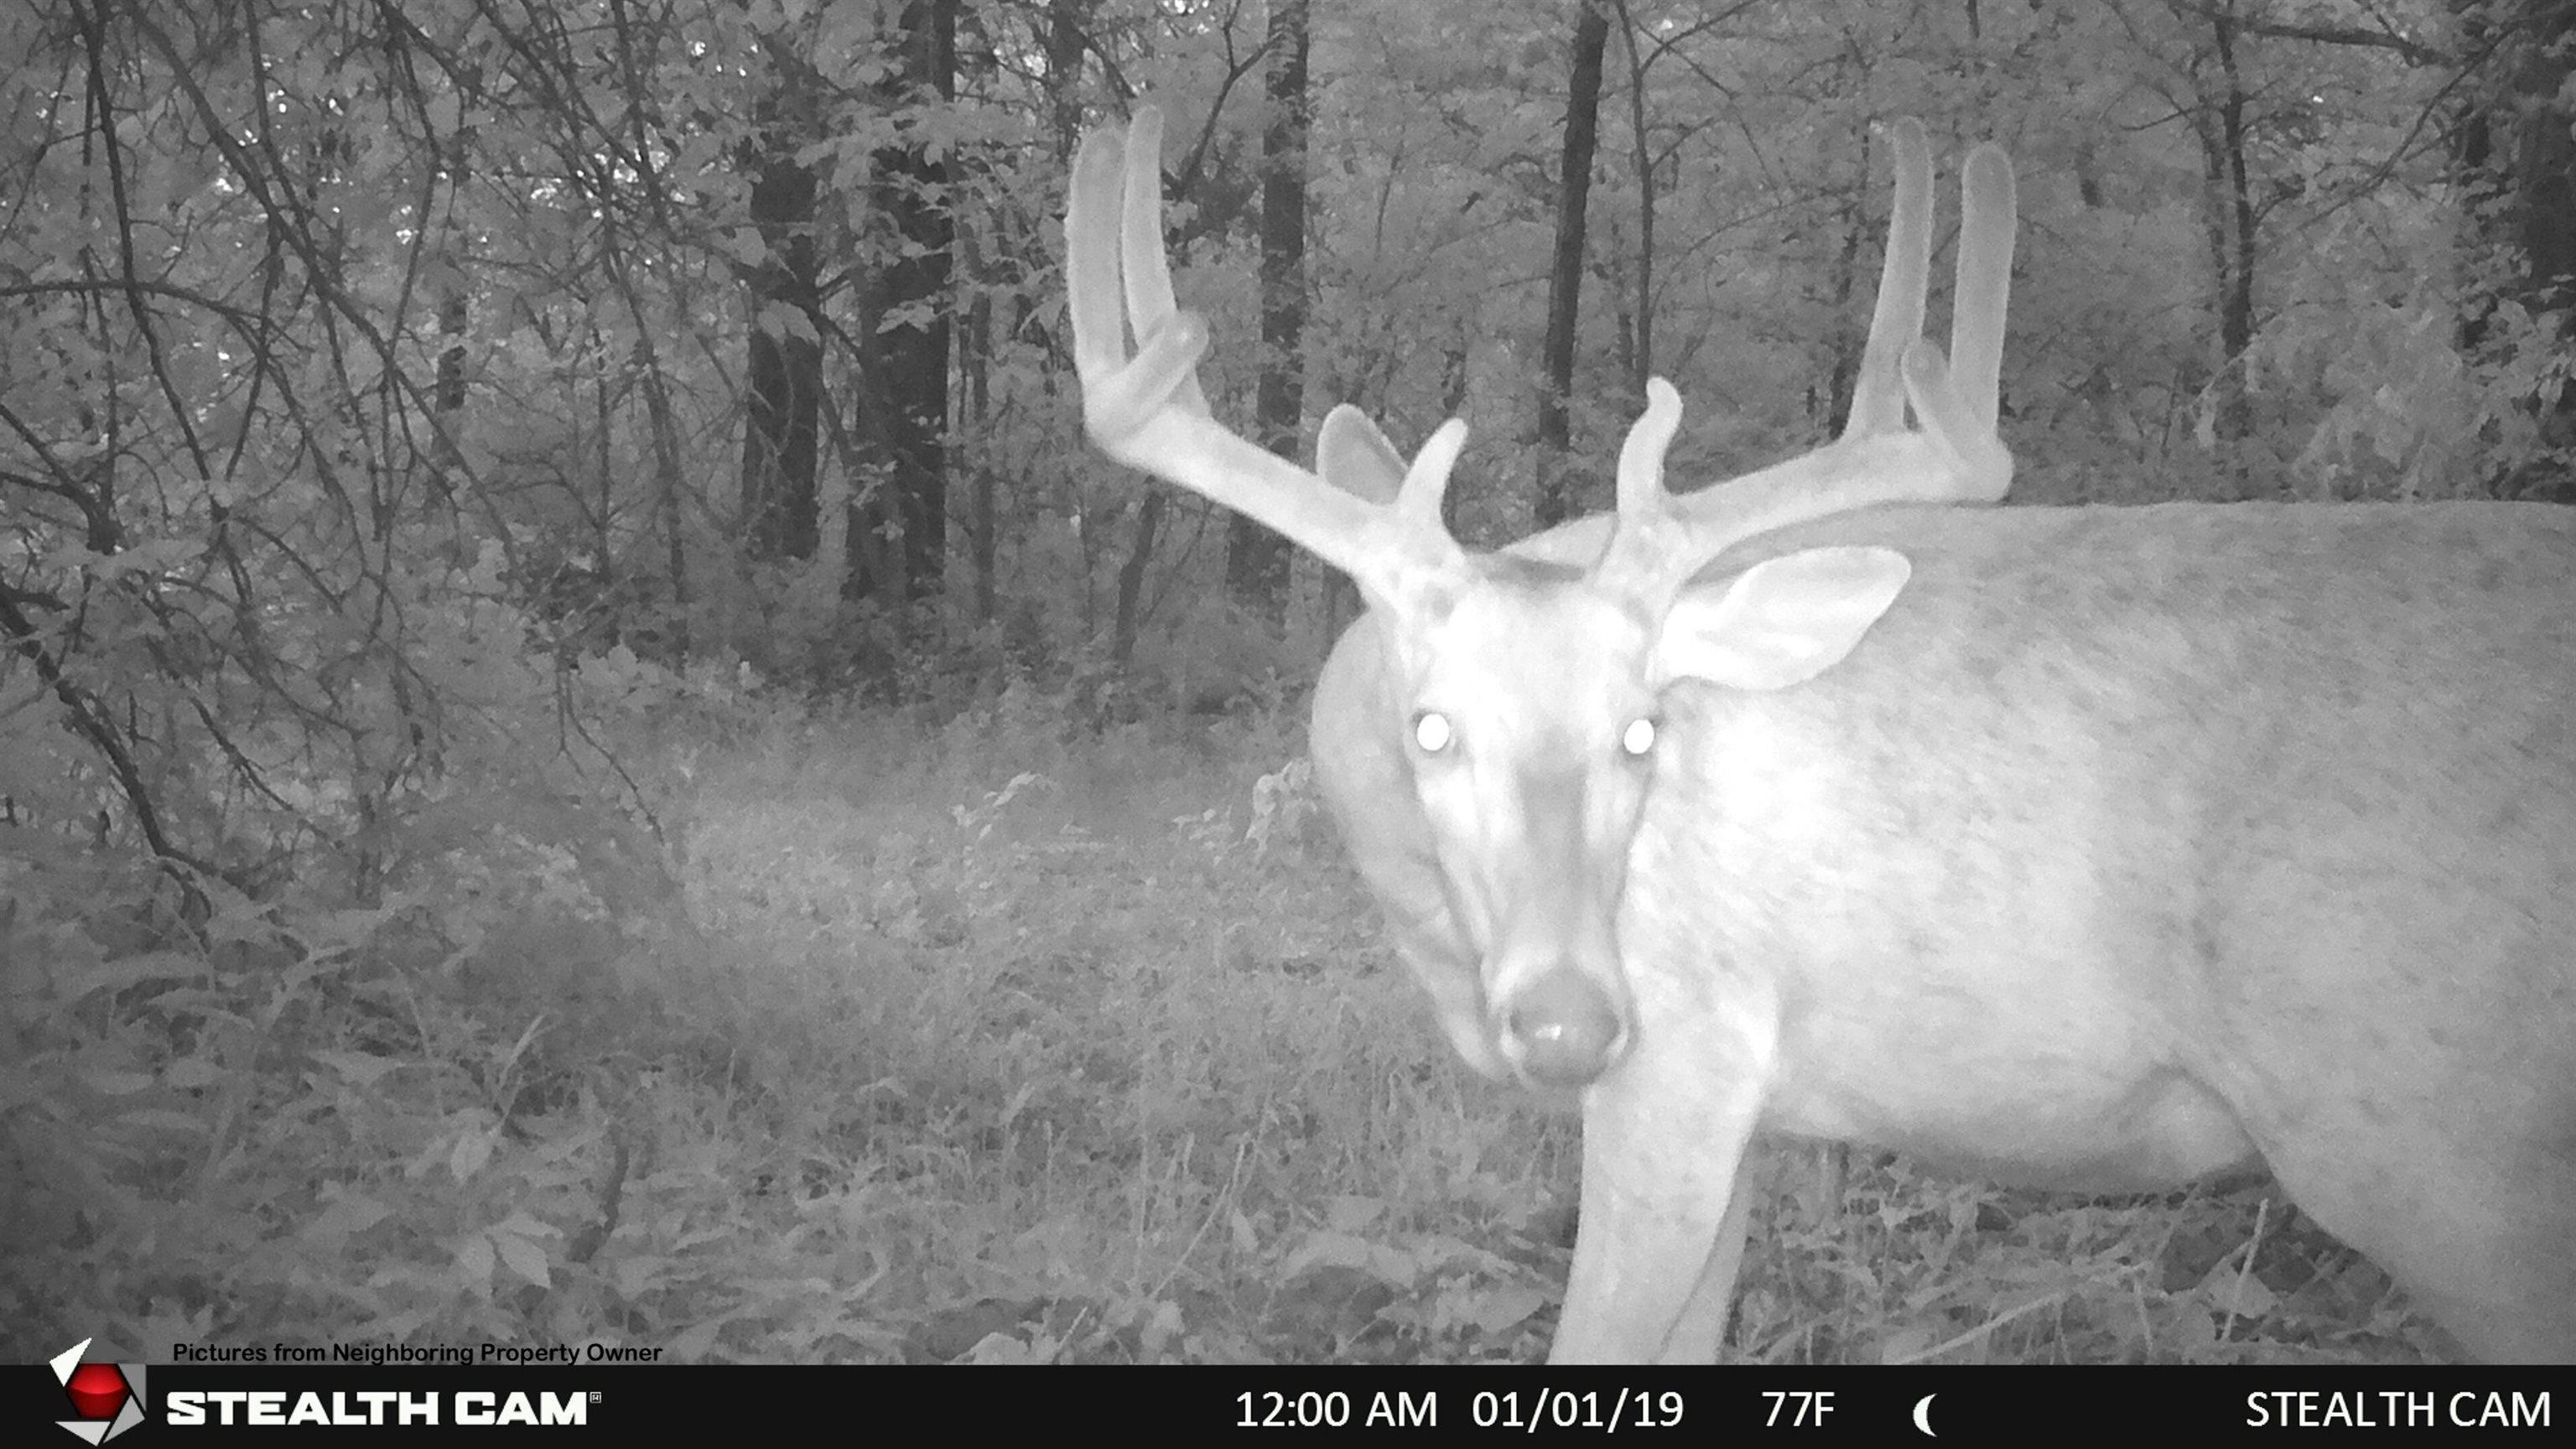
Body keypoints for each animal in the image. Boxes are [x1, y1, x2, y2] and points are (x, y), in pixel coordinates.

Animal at [1066, 106, 2576, 1364]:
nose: (1567, 1021)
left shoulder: (1683, 1058)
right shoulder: (1726, 1118)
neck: (1438, 931)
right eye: (1431, 727)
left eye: (1641, 733)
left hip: (2426, 1141)